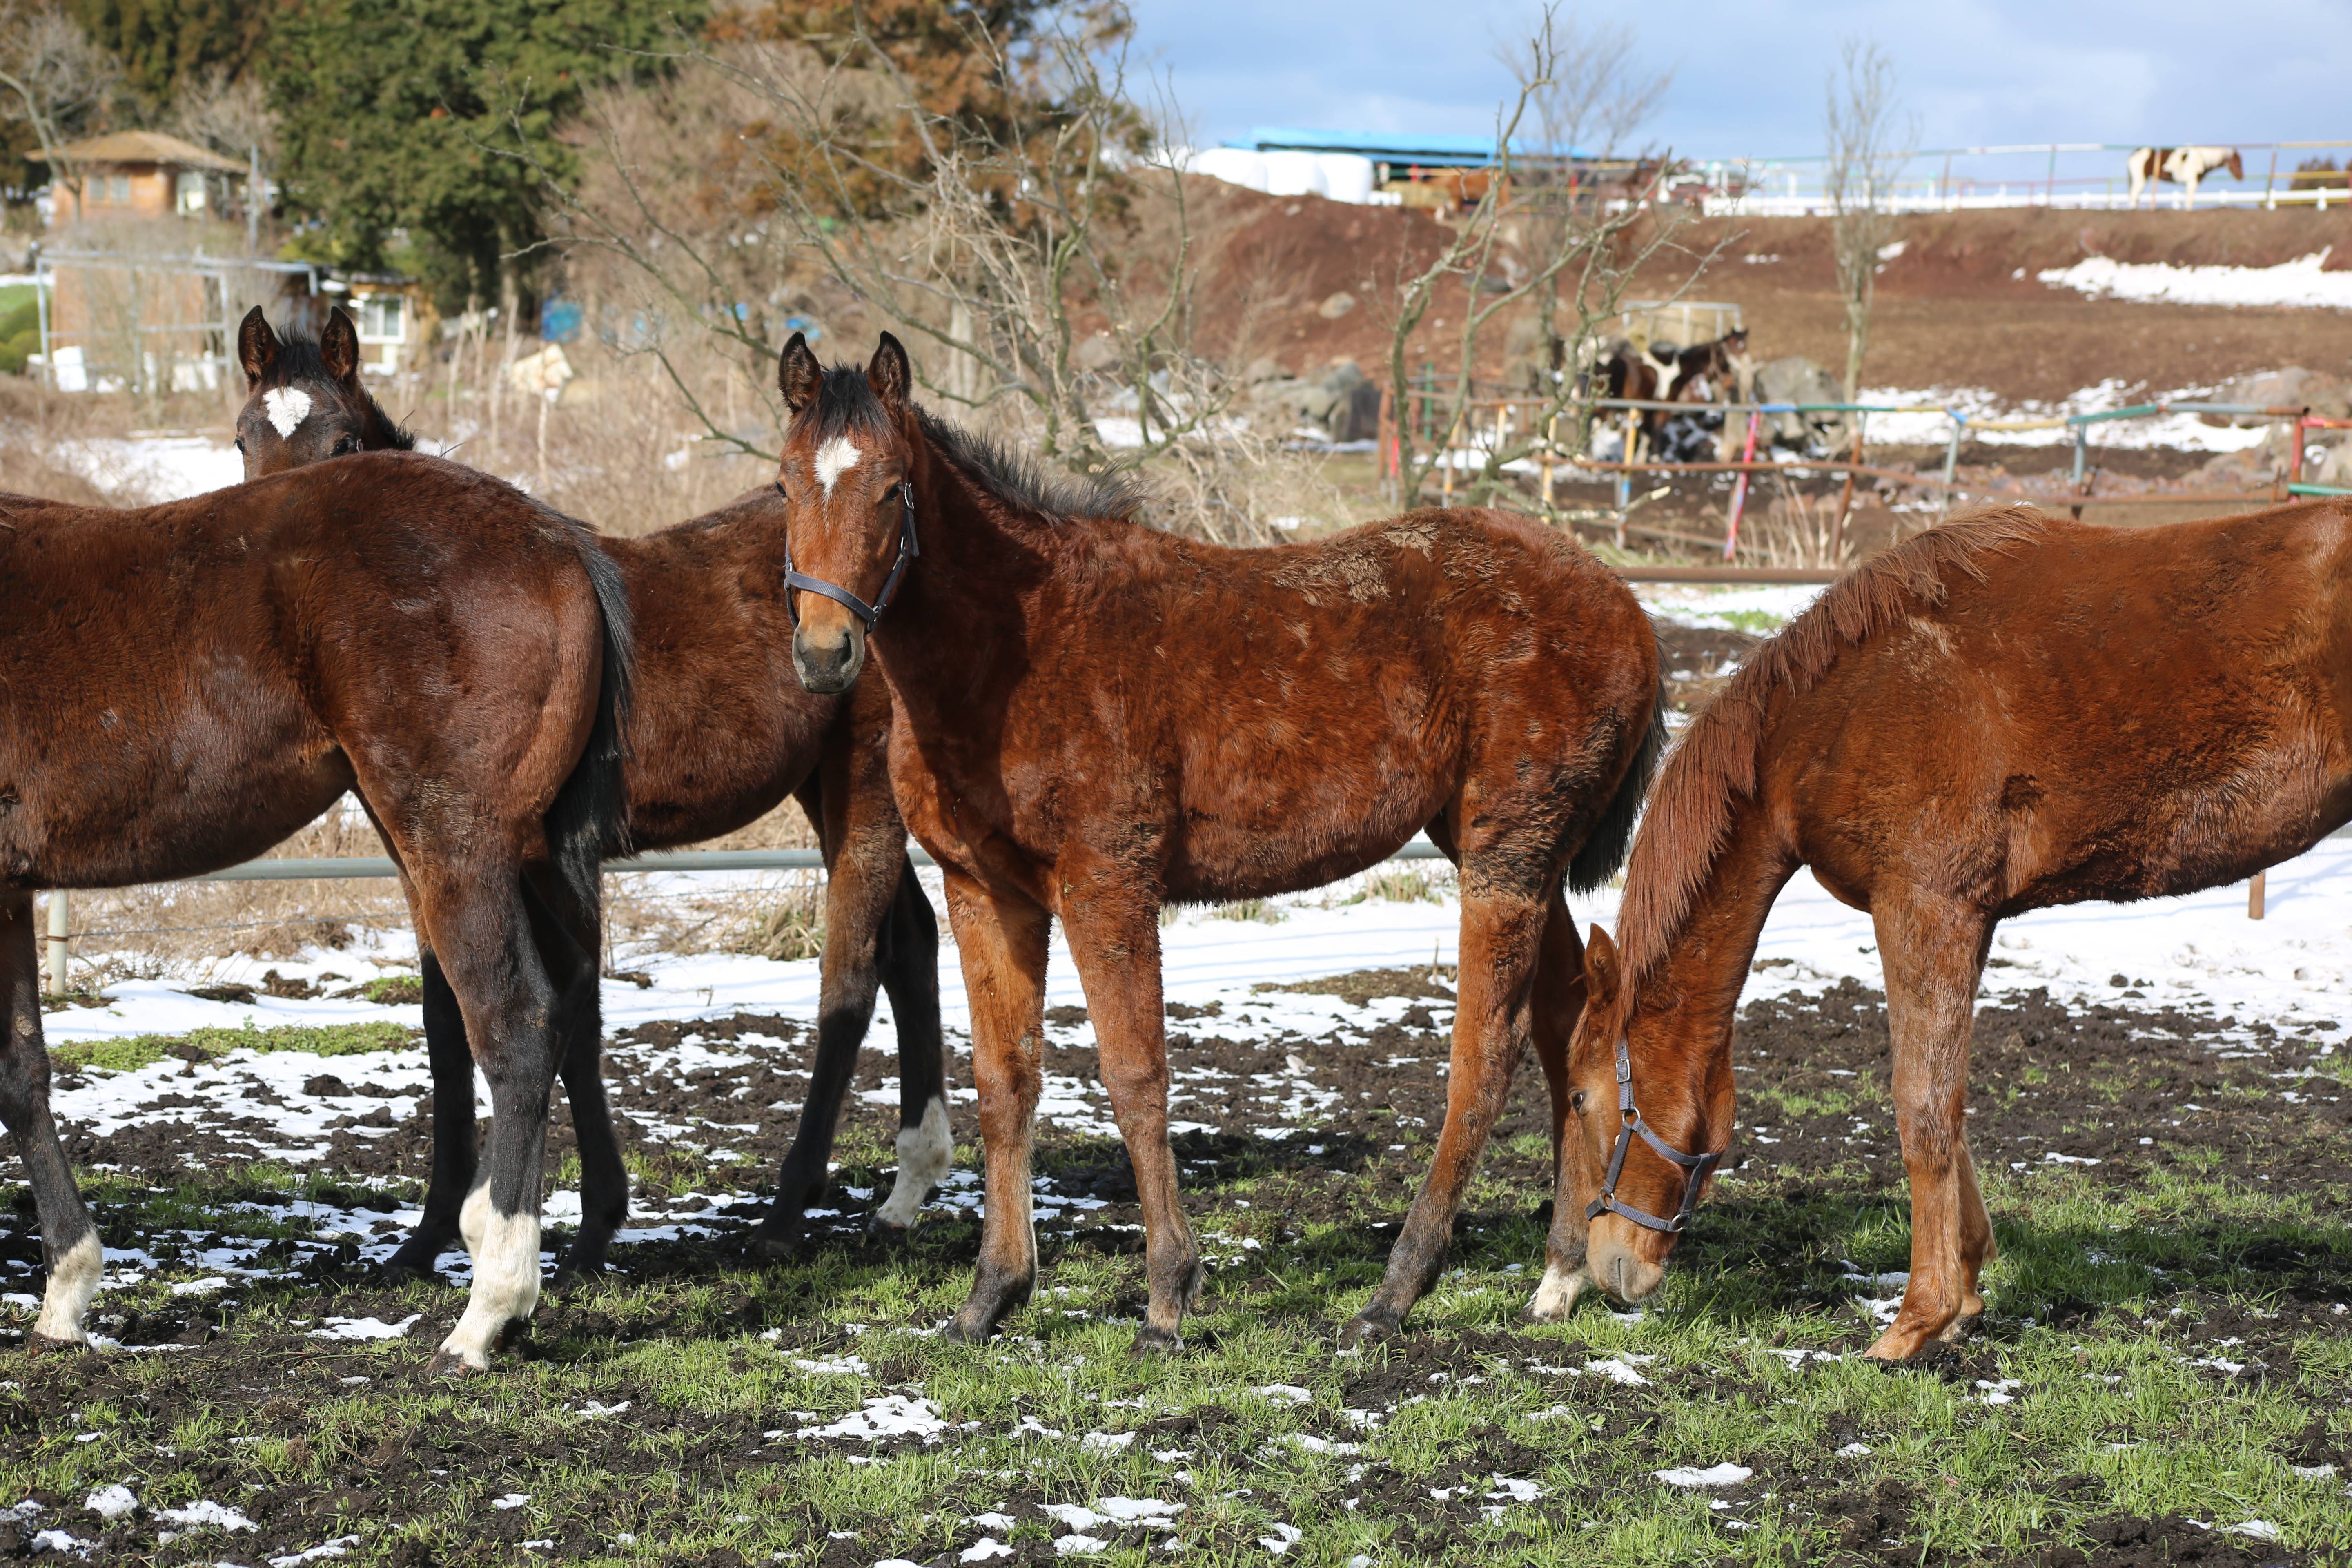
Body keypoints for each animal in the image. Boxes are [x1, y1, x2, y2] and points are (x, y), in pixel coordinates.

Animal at [0, 454, 635, 1373]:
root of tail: (556, 539)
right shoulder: (11, 891)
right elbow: (24, 1076)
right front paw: (65, 1300)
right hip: (515, 853)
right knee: (571, 1003)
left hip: (456, 844)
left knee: (517, 1029)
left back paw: (486, 1315)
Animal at [232, 310, 945, 1288]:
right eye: (244, 439)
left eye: (341, 444)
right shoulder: (430, 862)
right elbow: (454, 1020)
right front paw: (427, 1239)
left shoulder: (541, 857)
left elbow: (566, 1010)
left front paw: (586, 1230)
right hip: (822, 792)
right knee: (913, 939)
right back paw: (912, 1185)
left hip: (862, 790)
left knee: (858, 969)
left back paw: (788, 1214)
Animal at [771, 334, 1675, 1354]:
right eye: (785, 486)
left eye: (893, 489)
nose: (825, 654)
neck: (1015, 648)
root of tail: (1624, 605)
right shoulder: (985, 889)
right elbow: (1006, 1084)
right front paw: (991, 1295)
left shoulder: (1107, 884)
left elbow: (1136, 1078)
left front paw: (1169, 1297)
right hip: (1515, 858)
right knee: (1572, 1030)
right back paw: (1558, 1274)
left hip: (1506, 861)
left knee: (1485, 1060)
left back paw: (1396, 1291)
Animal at [1543, 503, 2352, 1363]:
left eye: (1583, 1098)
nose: (1604, 1269)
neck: (1838, 713)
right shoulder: (1963, 917)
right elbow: (1949, 1106)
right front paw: (1964, 1292)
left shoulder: (1925, 905)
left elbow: (1922, 1108)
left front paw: (1916, 1321)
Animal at [2126, 147, 2248, 212]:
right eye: (2237, 161)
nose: (2241, 177)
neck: (2203, 159)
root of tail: (2134, 153)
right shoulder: (2192, 182)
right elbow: (2190, 200)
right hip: (2141, 180)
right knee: (2134, 196)